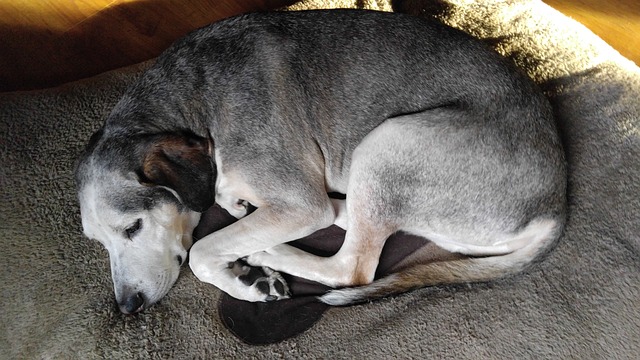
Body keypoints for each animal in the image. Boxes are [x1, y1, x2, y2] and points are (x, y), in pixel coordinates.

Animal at [75, 9, 564, 314]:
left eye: (132, 228)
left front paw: (247, 281)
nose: (127, 307)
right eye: (98, 242)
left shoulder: (298, 203)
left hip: (388, 143)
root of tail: (555, 208)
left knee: (351, 268)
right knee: (360, 222)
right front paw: (235, 213)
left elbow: (200, 252)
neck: (194, 104)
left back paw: (268, 250)